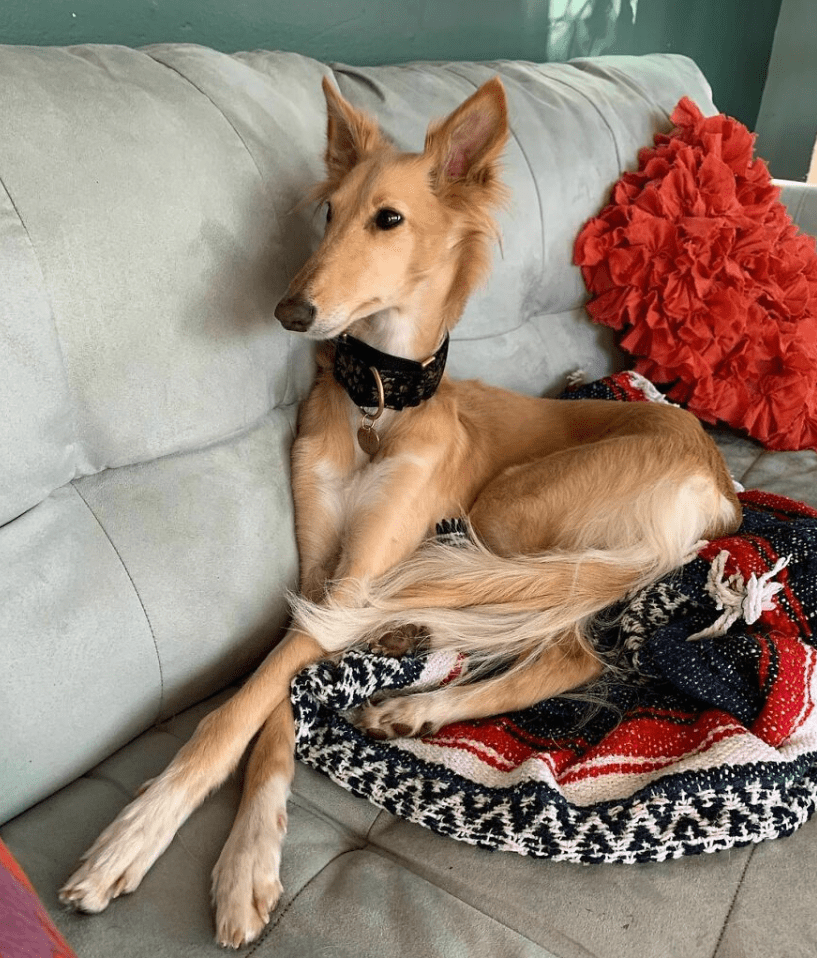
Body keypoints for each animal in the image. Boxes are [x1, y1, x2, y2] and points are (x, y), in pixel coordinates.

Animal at [60, 76, 742, 947]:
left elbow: (241, 706)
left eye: (388, 219)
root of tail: (715, 471)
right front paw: (248, 862)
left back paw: (420, 704)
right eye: (327, 213)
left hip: (511, 513)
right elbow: (273, 712)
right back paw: (411, 665)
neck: (377, 405)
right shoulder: (321, 576)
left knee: (567, 649)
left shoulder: (352, 583)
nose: (288, 312)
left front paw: (137, 833)